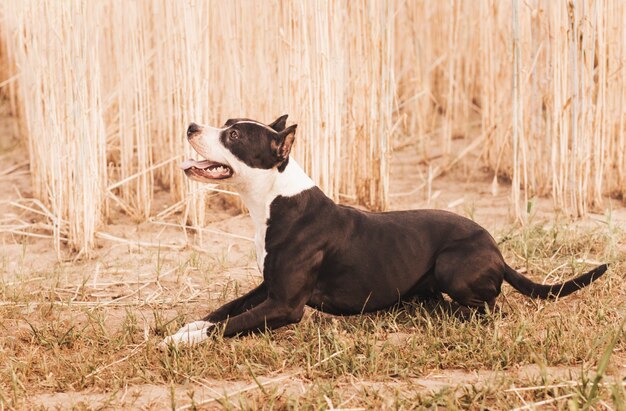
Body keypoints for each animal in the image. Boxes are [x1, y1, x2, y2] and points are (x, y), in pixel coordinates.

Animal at [158, 115, 608, 348]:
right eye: (227, 123)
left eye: (233, 135)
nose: (192, 124)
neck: (273, 197)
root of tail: (496, 249)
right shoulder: (267, 287)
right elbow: (220, 311)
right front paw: (183, 329)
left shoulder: (285, 305)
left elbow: (226, 325)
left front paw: (180, 342)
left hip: (452, 264)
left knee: (487, 308)